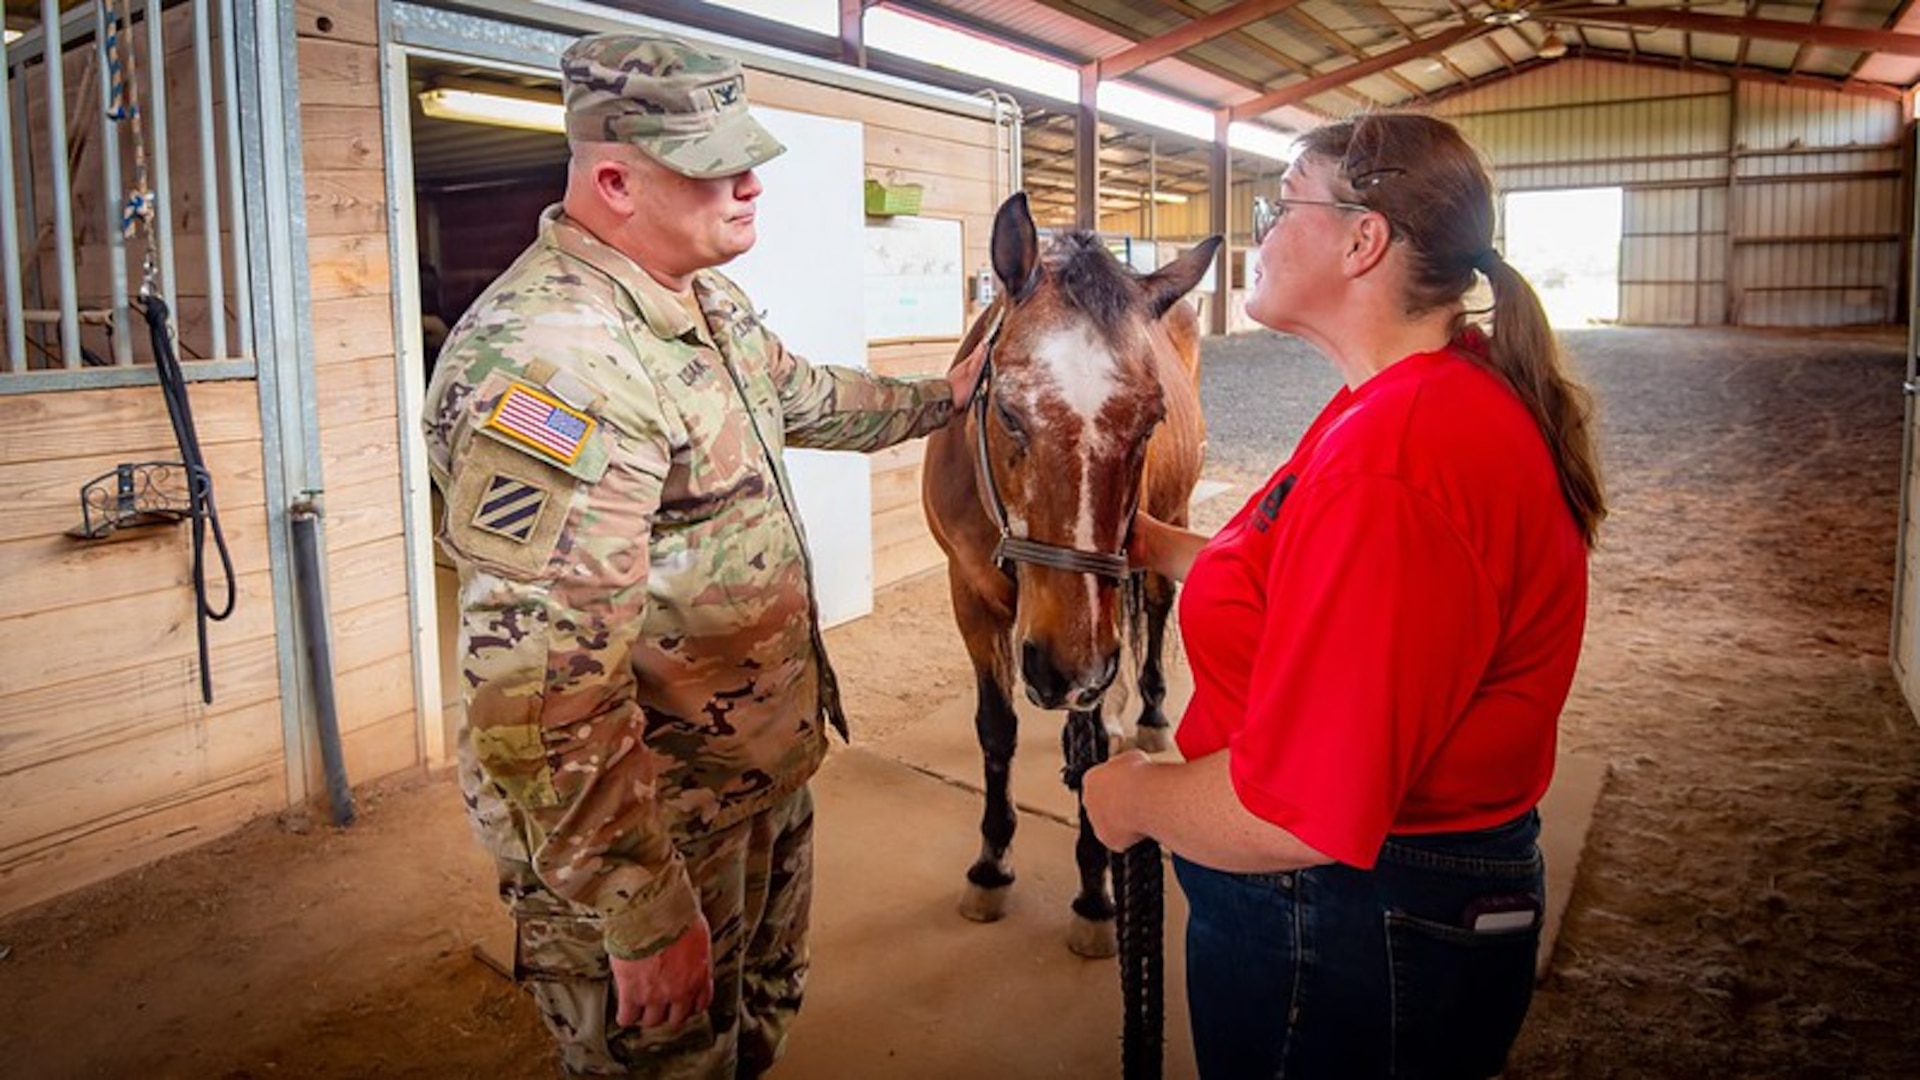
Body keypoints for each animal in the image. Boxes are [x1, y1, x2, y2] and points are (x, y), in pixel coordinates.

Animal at [917, 191, 1213, 949]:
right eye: (1008, 411)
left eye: (1150, 421)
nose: (1062, 670)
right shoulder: (970, 595)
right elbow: (996, 727)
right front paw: (991, 863)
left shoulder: (1092, 634)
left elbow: (1094, 744)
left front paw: (1093, 890)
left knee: (1157, 612)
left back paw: (1153, 711)